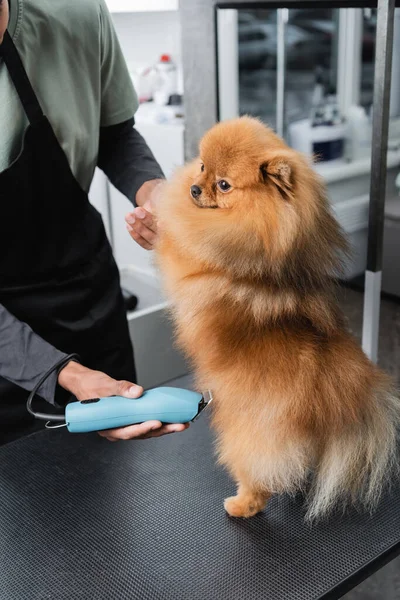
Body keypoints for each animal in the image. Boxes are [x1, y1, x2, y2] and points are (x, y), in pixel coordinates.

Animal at [155, 117, 398, 520]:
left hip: (249, 432)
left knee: (261, 472)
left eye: (224, 184)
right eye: (202, 166)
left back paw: (243, 504)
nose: (193, 188)